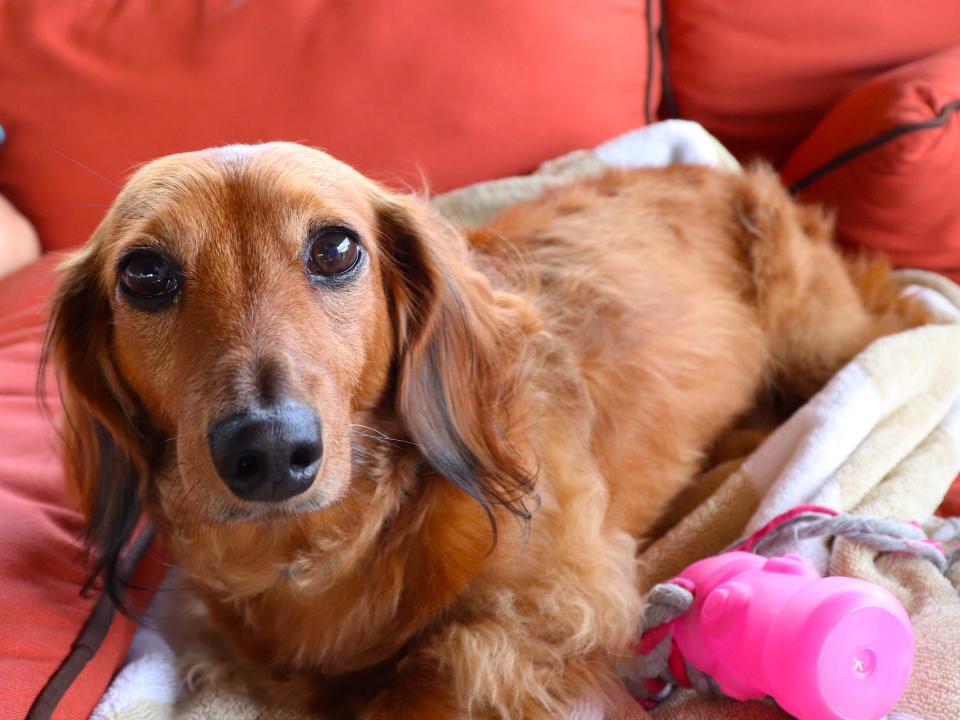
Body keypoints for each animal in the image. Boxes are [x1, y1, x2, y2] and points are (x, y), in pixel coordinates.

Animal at [45, 143, 924, 716]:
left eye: (335, 247)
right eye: (144, 274)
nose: (266, 451)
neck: (346, 541)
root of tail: (721, 169)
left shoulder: (566, 608)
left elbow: (447, 665)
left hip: (824, 336)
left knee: (902, 322)